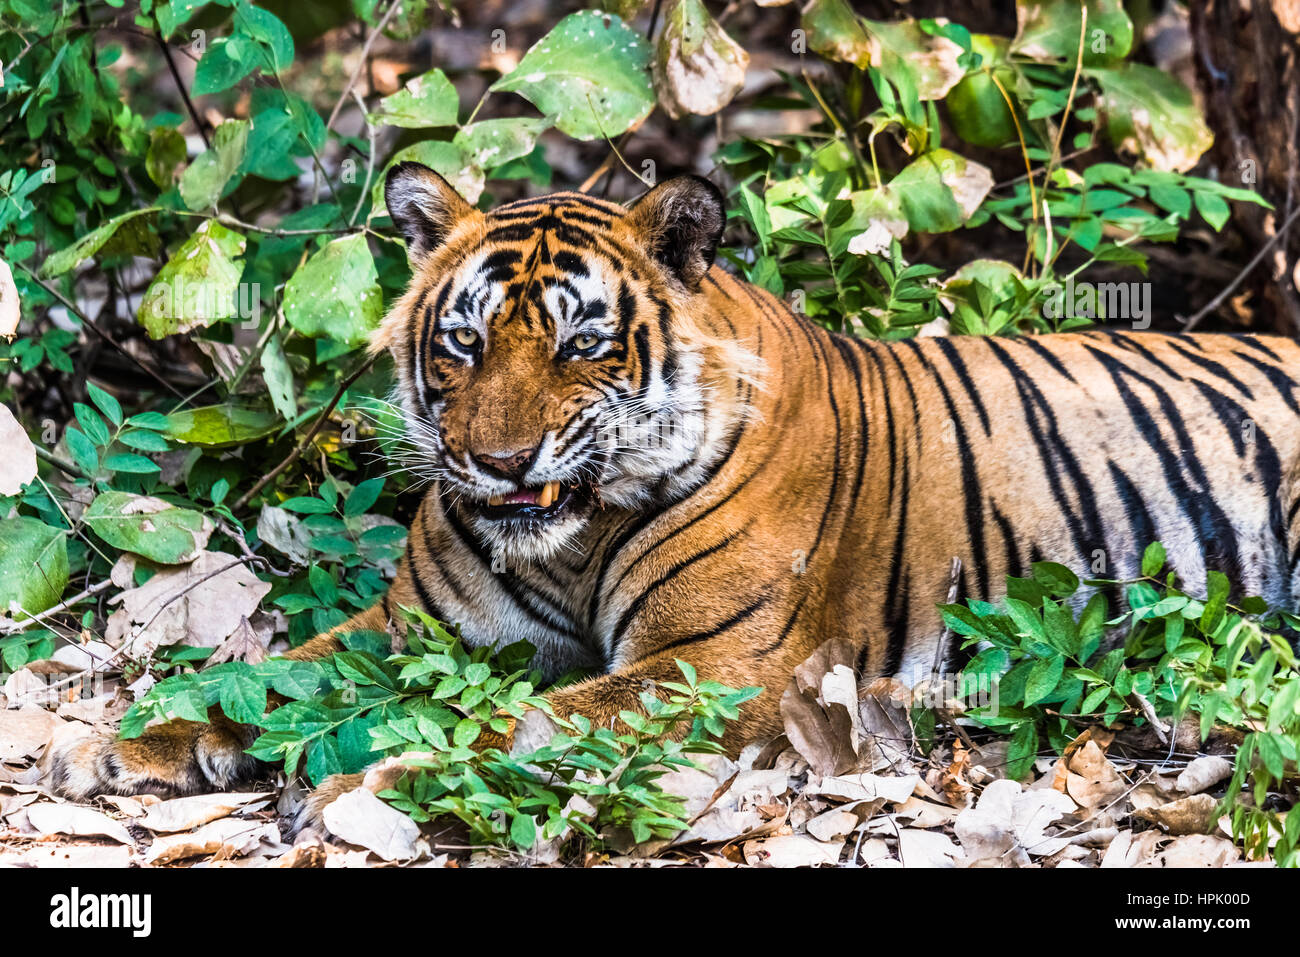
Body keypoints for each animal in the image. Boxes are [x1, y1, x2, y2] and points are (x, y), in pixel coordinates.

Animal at [50, 160, 1300, 811]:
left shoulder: (711, 667)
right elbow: (277, 675)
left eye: (580, 345)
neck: (573, 538)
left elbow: (532, 724)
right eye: (463, 344)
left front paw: (372, 780)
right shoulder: (410, 628)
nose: (496, 464)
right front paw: (114, 740)